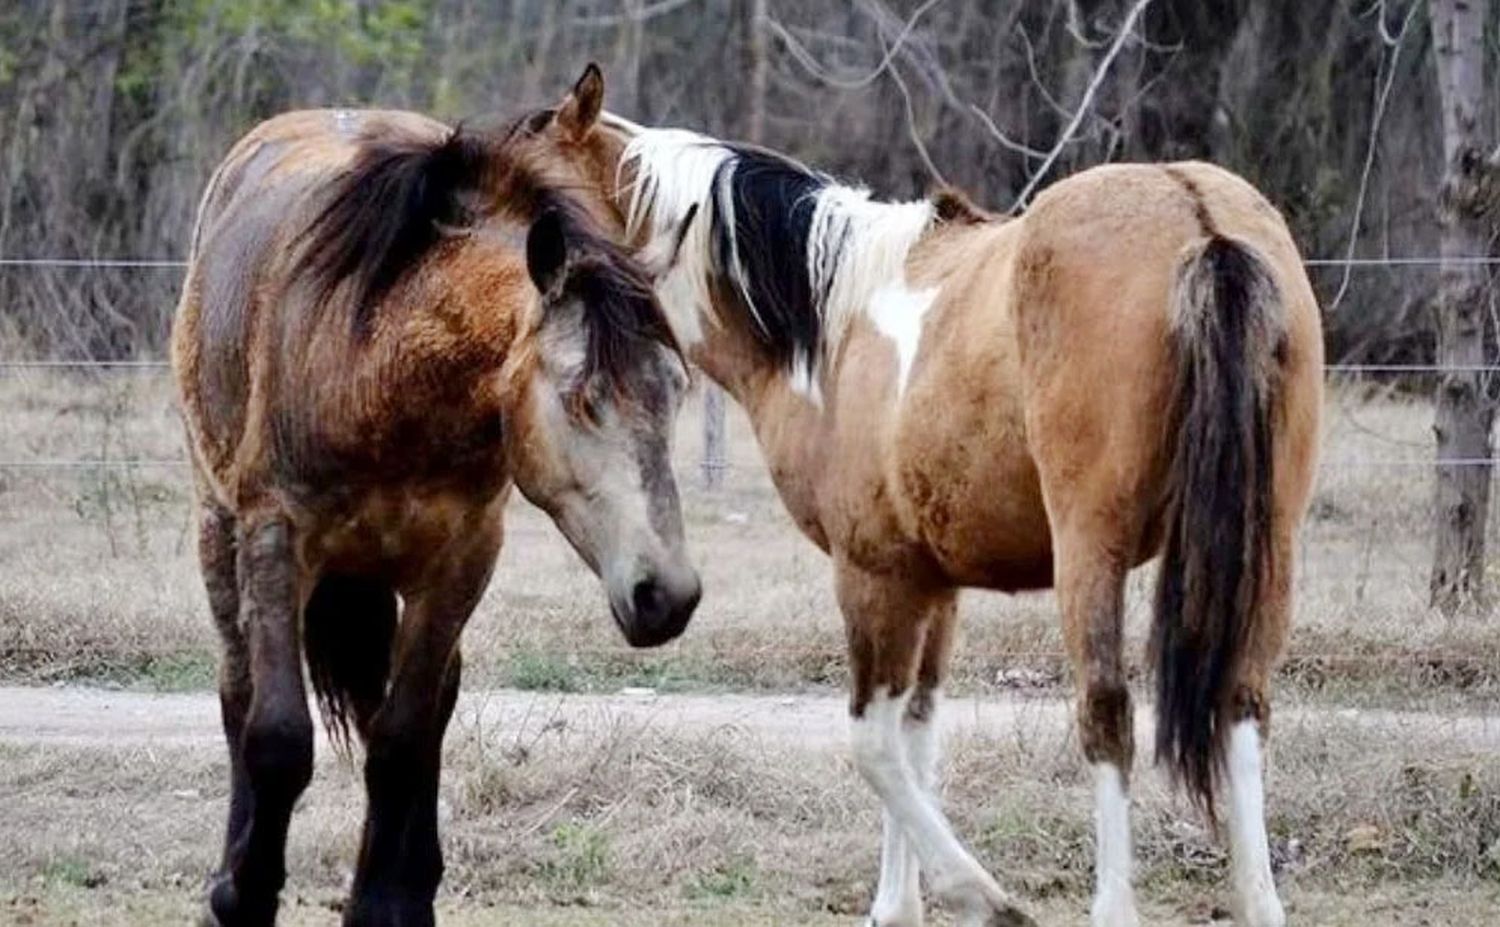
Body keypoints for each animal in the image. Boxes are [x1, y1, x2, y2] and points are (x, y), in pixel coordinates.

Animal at [172, 101, 699, 924]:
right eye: (581, 398)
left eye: (677, 390)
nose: (667, 595)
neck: (378, 361)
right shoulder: (274, 540)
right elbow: (275, 733)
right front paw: (243, 892)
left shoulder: (459, 560)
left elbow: (404, 736)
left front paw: (380, 903)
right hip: (216, 528)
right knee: (236, 690)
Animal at [513, 66, 1326, 924]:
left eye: (526, 182)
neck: (825, 325)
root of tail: (1198, 219)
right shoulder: (930, 581)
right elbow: (916, 732)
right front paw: (901, 902)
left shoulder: (872, 576)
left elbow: (873, 743)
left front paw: (977, 895)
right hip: (1266, 546)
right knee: (1241, 703)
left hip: (1092, 553)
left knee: (1106, 713)